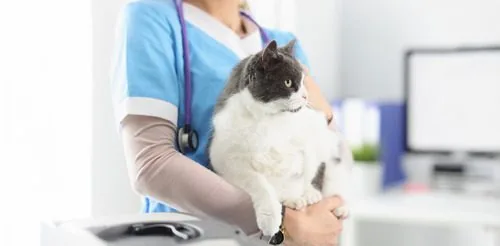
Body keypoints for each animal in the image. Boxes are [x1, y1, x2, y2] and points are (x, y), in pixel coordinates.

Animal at [207, 39, 352, 235]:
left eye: (303, 81)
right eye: (288, 82)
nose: (305, 96)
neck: (268, 120)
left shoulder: (303, 143)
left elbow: (299, 172)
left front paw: (300, 195)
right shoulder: (228, 160)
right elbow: (259, 183)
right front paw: (271, 216)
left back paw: (332, 204)